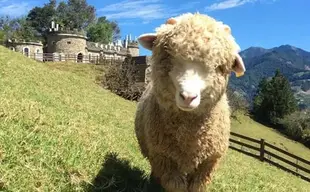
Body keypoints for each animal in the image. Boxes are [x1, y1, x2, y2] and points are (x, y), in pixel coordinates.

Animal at [134, 12, 246, 191]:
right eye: (169, 55)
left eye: (220, 67)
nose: (188, 97)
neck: (190, 138)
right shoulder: (164, 158)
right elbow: (176, 186)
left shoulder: (207, 164)